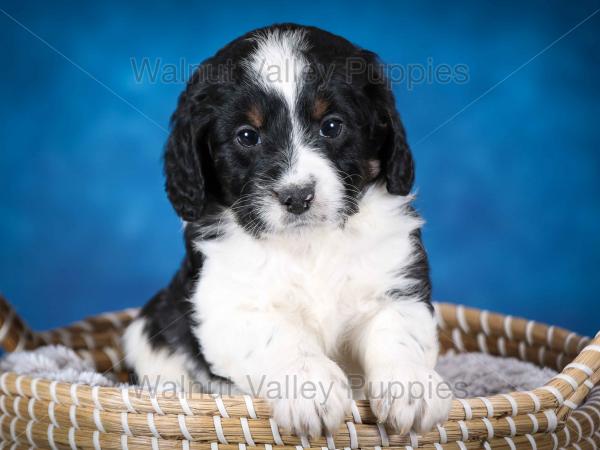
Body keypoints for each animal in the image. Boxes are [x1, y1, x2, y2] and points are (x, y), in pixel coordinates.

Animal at [124, 23, 452, 436]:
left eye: (332, 126)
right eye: (247, 135)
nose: (297, 197)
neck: (307, 245)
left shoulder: (397, 283)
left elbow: (398, 330)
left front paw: (412, 386)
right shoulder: (227, 305)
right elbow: (280, 337)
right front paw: (312, 388)